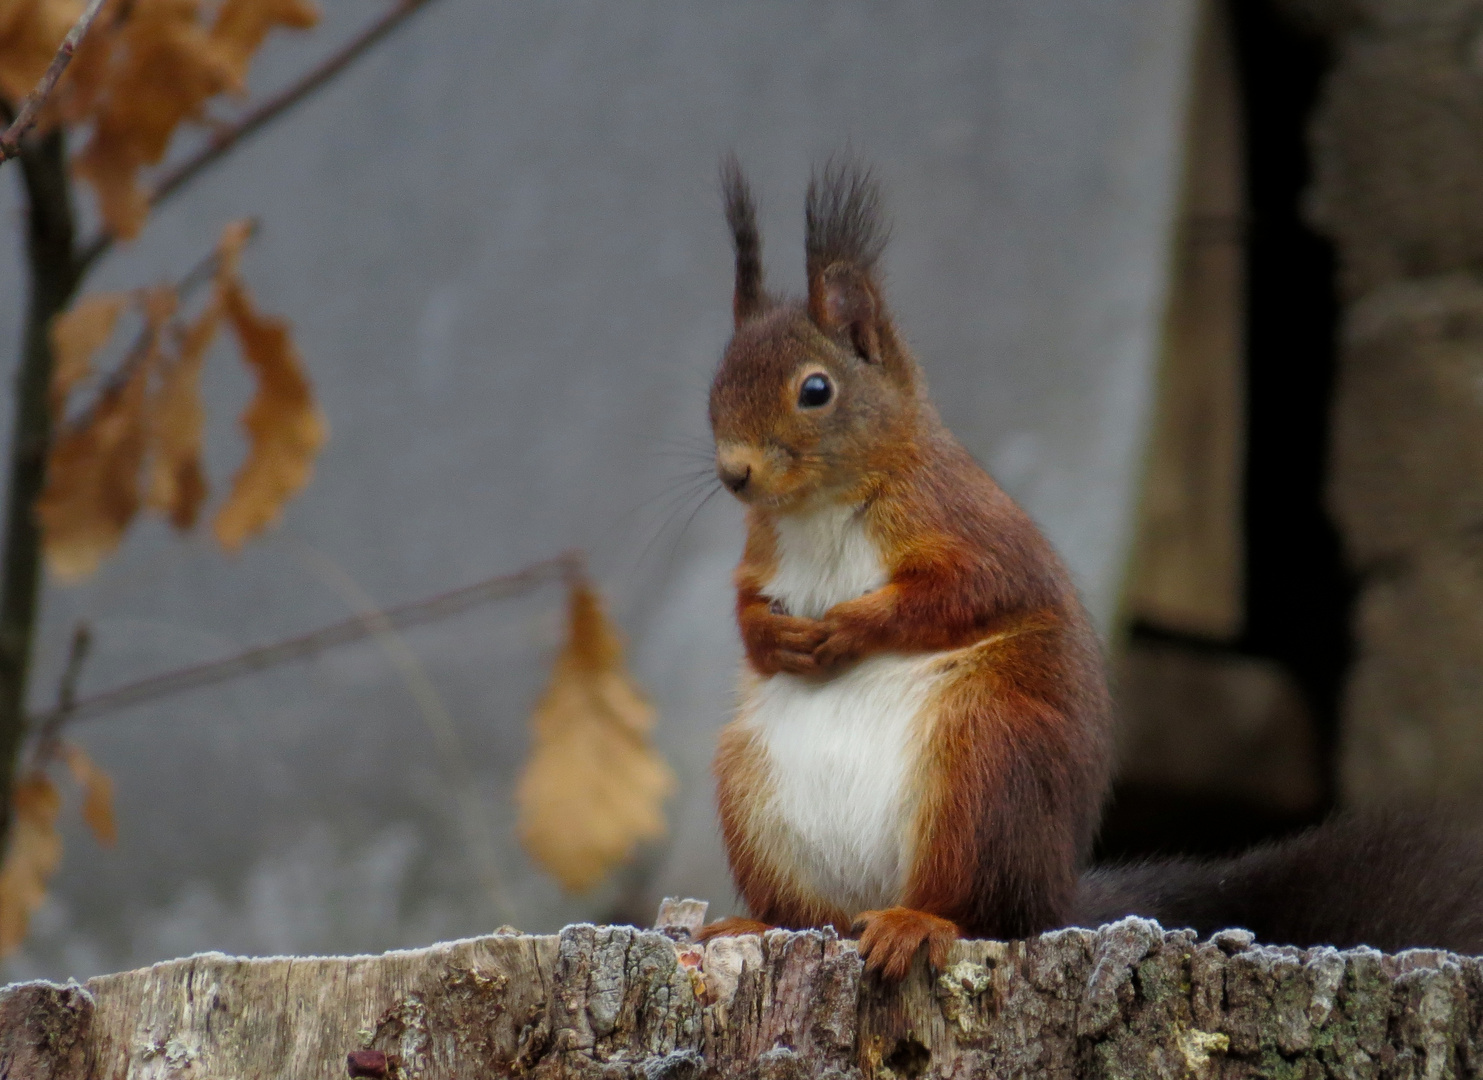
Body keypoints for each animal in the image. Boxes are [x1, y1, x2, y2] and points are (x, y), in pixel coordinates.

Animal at [694, 157, 1115, 979]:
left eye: (815, 390)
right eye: (715, 385)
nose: (734, 473)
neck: (821, 506)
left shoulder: (968, 526)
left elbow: (963, 593)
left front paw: (850, 626)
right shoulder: (760, 554)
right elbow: (745, 612)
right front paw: (778, 639)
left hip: (987, 765)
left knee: (977, 909)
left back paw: (916, 923)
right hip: (749, 787)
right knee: (807, 914)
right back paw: (756, 925)